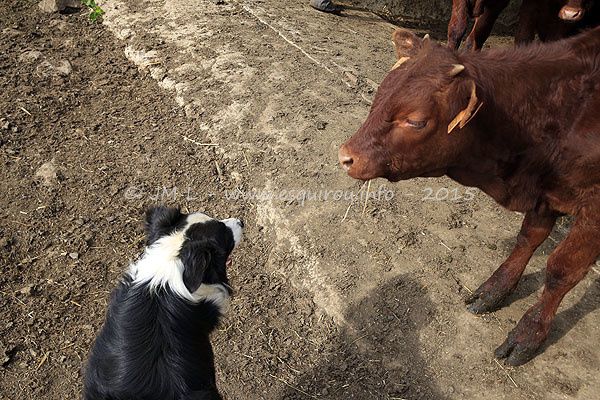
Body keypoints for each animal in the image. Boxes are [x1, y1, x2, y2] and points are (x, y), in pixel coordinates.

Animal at [340, 28, 600, 366]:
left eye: (416, 121)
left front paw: (529, 334)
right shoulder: (545, 192)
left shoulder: (592, 209)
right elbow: (528, 238)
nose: (346, 156)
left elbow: (561, 270)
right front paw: (495, 290)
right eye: (379, 95)